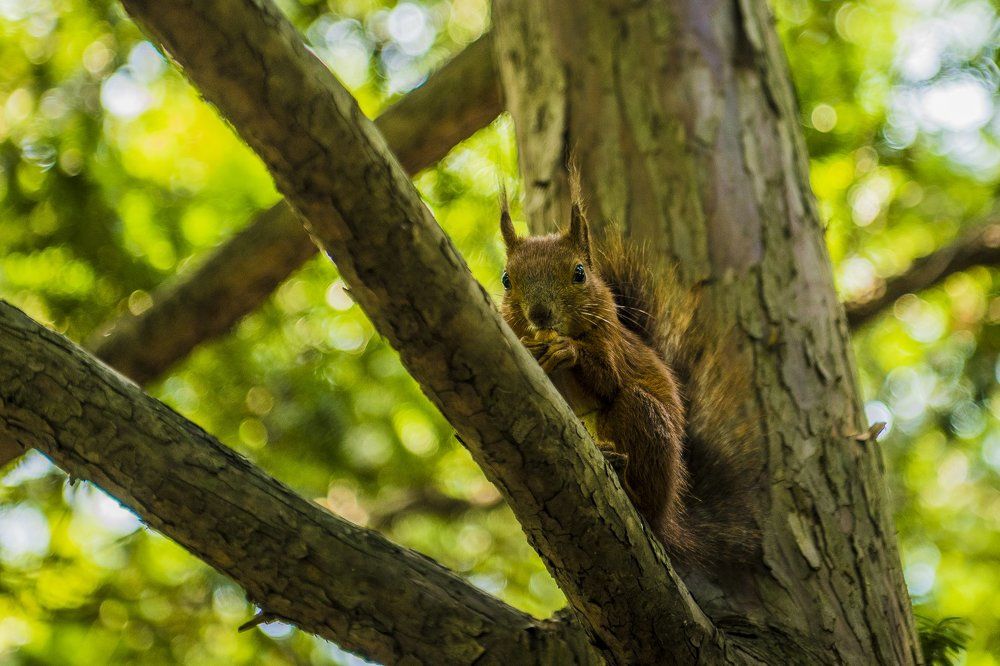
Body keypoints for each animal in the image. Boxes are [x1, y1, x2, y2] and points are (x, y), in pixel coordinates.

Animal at [498, 175, 758, 568]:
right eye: (506, 280)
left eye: (579, 273)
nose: (540, 315)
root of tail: (669, 514)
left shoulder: (612, 341)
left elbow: (608, 380)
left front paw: (568, 351)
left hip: (642, 416)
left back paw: (623, 475)